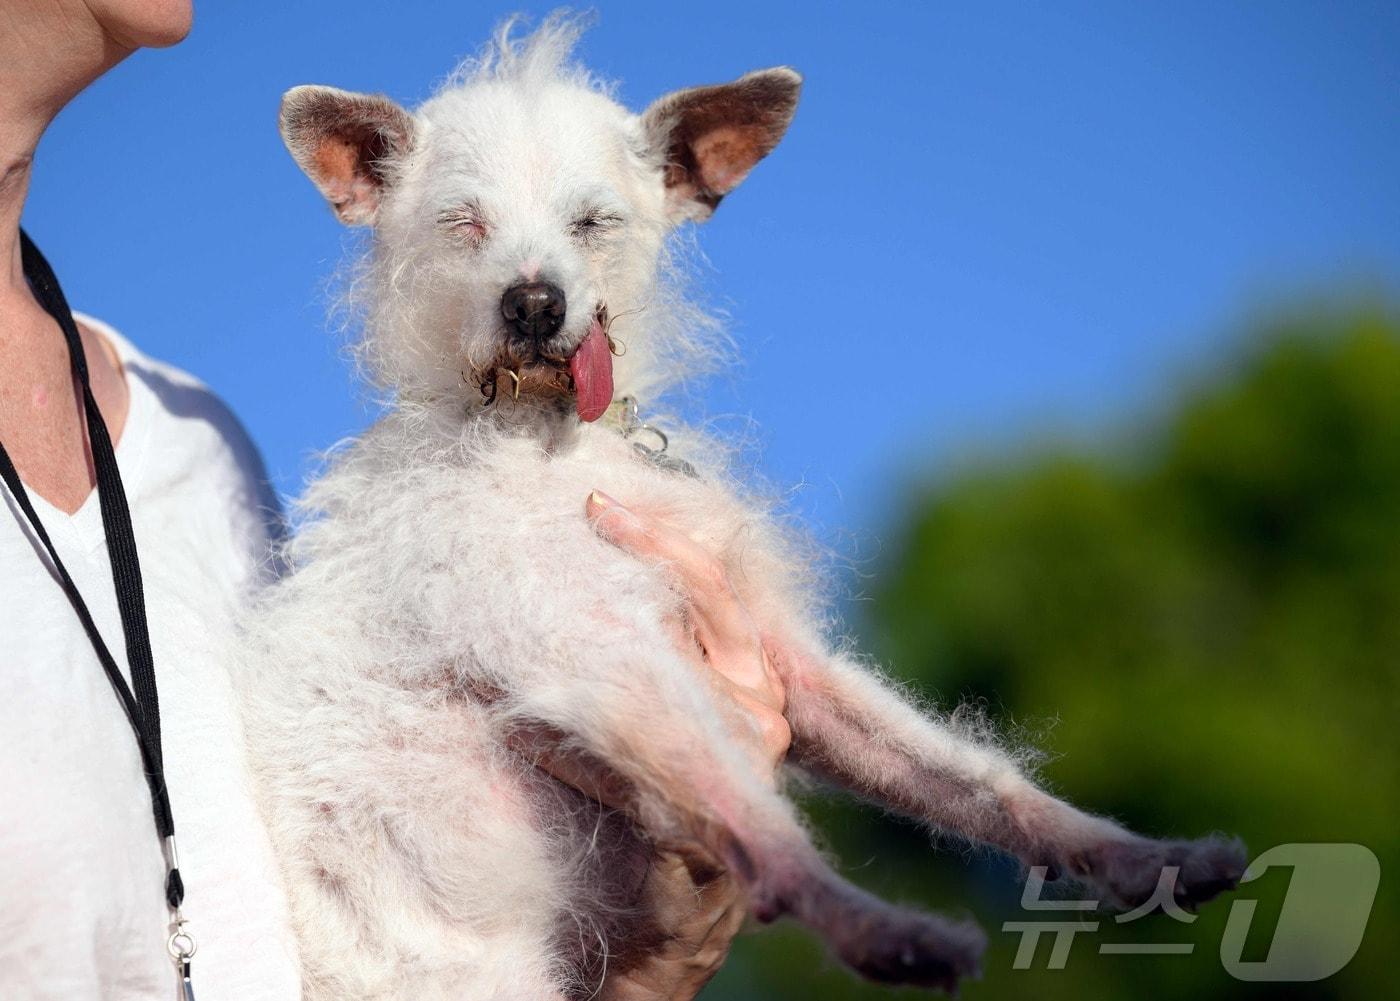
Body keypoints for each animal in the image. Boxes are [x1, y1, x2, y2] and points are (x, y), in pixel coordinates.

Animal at [240, 17, 1248, 1001]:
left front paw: (1141, 857)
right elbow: (758, 824)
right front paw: (879, 928)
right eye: (463, 223)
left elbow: (969, 779)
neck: (549, 437)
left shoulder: (780, 654)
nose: (532, 302)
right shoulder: (600, 657)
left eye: (592, 222)